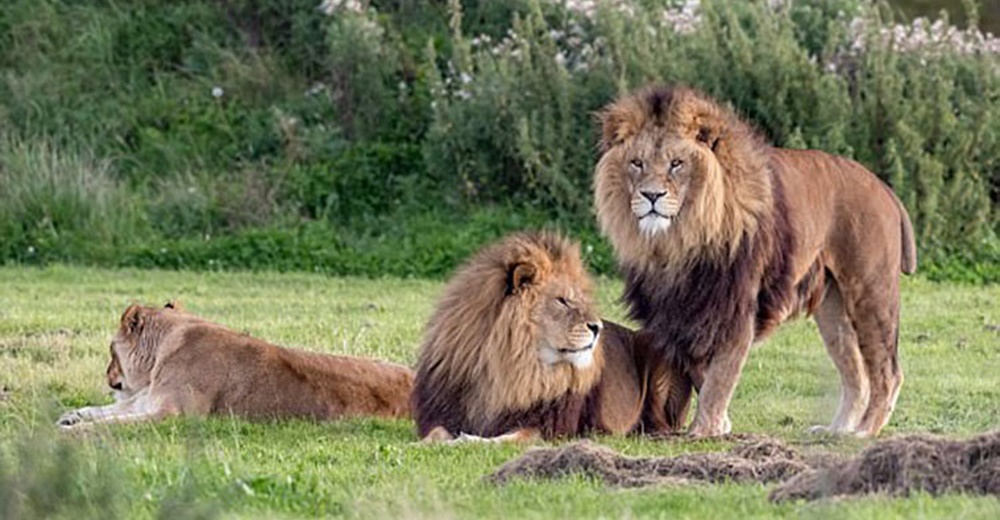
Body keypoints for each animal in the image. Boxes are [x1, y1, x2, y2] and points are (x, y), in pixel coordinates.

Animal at [58, 302, 412, 428]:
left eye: (110, 351)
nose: (108, 376)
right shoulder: (146, 401)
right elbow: (103, 410)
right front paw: (70, 417)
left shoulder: (174, 415)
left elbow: (112, 423)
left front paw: (73, 432)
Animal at [410, 232, 692, 442]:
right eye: (563, 301)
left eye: (579, 300)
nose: (598, 327)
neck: (508, 367)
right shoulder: (444, 413)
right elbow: (435, 433)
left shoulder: (546, 427)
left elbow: (505, 439)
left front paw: (469, 440)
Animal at [592, 86, 916, 438]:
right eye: (636, 163)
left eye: (677, 164)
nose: (651, 196)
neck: (676, 241)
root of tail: (885, 188)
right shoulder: (683, 310)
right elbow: (700, 372)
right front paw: (721, 425)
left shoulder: (734, 305)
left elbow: (721, 375)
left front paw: (704, 430)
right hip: (833, 308)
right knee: (855, 372)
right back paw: (837, 430)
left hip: (870, 290)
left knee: (887, 371)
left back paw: (865, 431)